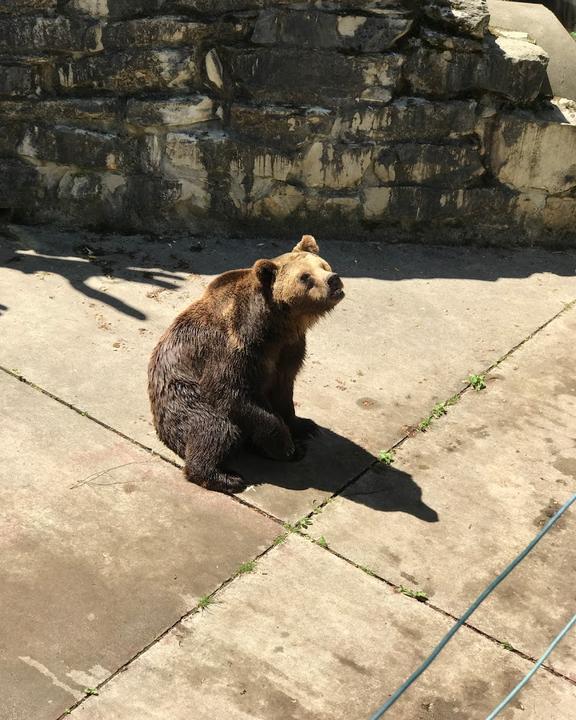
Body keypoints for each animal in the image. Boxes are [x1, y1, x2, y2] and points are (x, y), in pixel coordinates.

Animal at [148, 236, 344, 496]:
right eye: (305, 277)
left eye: (324, 265)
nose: (334, 280)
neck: (276, 326)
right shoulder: (235, 348)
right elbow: (231, 394)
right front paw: (289, 447)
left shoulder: (290, 350)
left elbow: (284, 392)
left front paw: (305, 426)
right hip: (183, 399)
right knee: (215, 428)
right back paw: (225, 477)